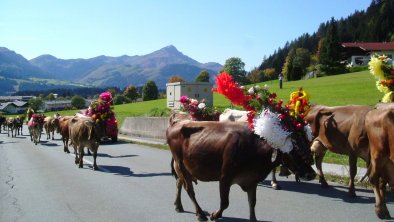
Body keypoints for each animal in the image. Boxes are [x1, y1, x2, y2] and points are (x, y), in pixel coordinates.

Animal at [167, 119, 318, 222]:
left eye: (308, 146)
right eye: (294, 150)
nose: (312, 174)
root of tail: (178, 122)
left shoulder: (252, 180)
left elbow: (252, 202)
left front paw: (253, 219)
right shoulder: (225, 177)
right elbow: (225, 202)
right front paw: (215, 215)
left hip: (183, 168)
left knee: (179, 183)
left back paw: (178, 205)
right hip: (181, 164)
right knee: (189, 189)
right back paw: (200, 213)